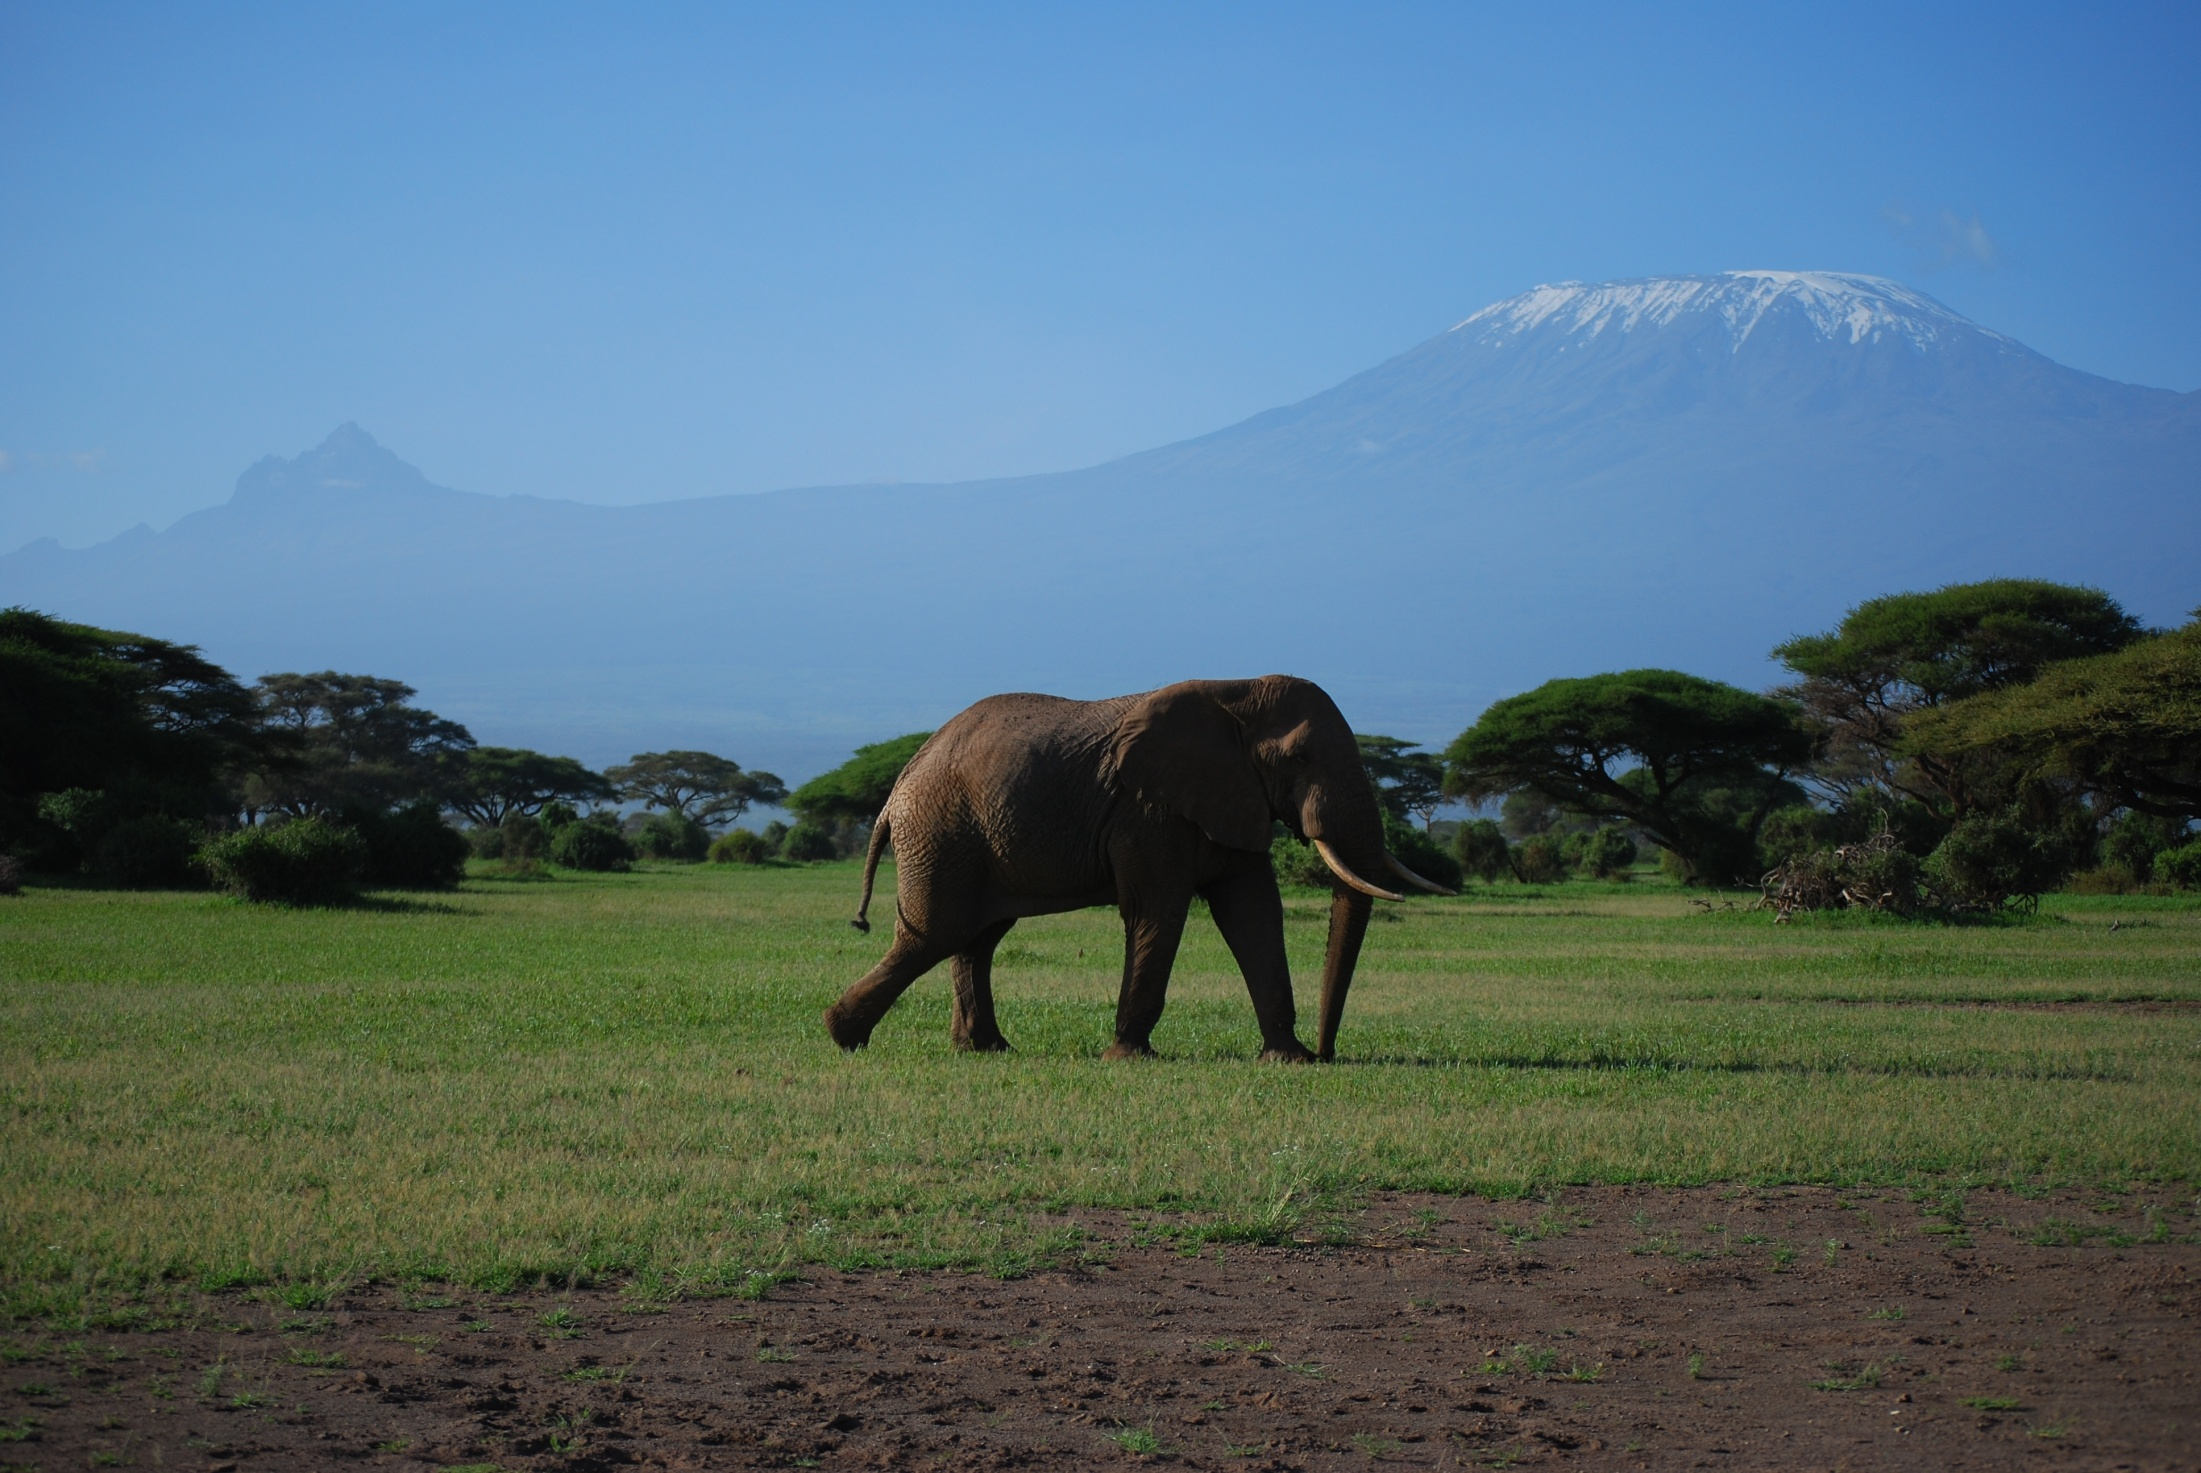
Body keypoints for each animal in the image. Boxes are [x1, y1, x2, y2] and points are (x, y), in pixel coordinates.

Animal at [818, 673, 1452, 1061]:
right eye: (1297, 758)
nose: (1327, 1052)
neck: (1235, 691)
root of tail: (896, 788)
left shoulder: (1230, 798)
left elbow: (1253, 913)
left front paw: (1287, 1060)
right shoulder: (1149, 811)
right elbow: (1159, 910)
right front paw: (1128, 1055)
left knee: (976, 939)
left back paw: (986, 1049)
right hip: (943, 834)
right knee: (935, 934)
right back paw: (842, 1034)